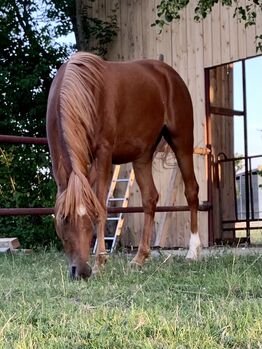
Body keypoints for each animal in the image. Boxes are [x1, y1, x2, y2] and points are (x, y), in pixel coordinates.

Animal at [46, 52, 202, 280]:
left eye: (90, 217)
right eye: (63, 218)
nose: (81, 271)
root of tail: (169, 74)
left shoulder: (103, 153)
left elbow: (102, 205)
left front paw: (100, 262)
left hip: (181, 141)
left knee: (191, 190)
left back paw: (193, 251)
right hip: (143, 155)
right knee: (150, 198)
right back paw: (139, 258)